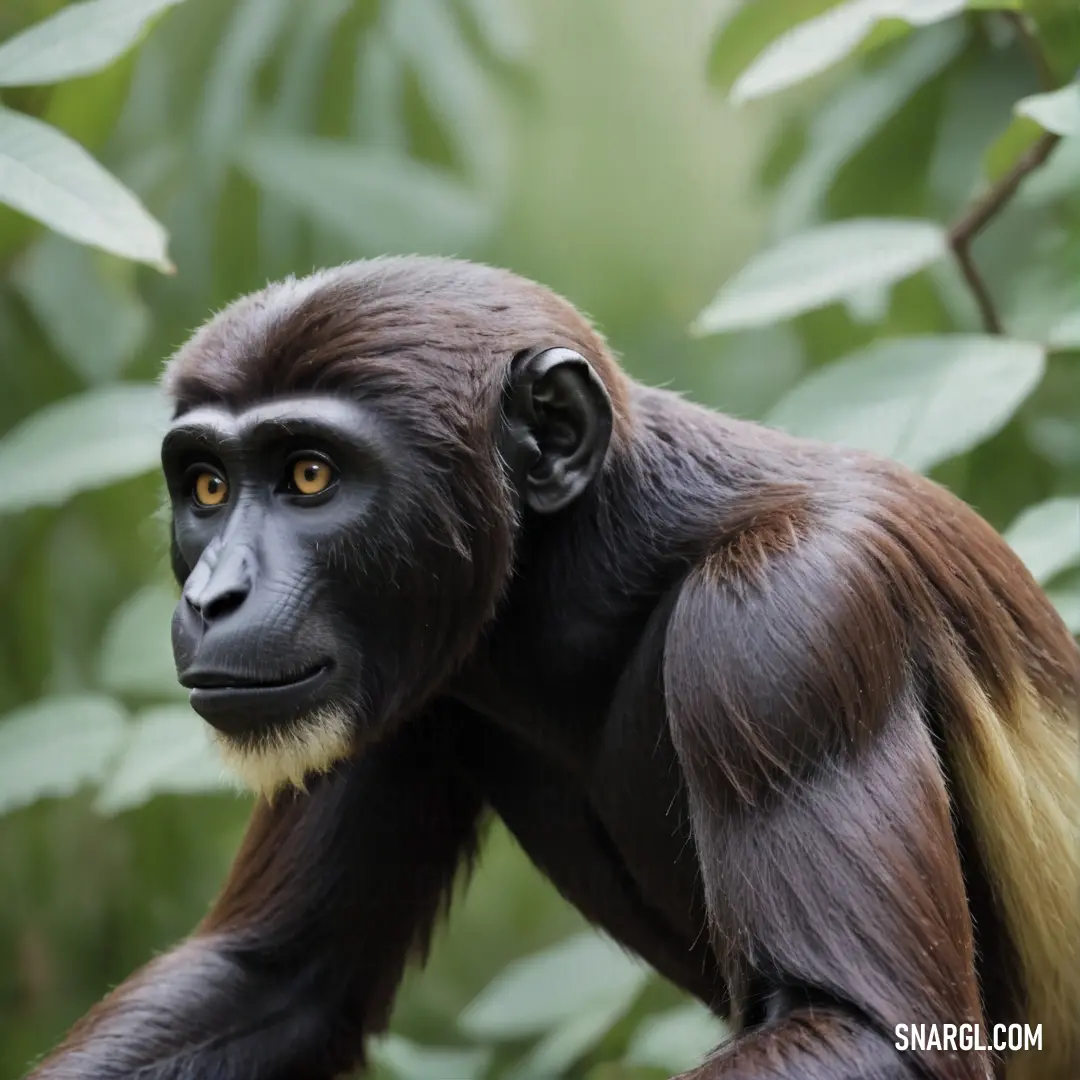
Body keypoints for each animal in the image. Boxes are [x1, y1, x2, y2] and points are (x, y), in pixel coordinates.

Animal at [25, 254, 1071, 1080]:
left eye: (309, 475)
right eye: (207, 487)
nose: (214, 595)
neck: (597, 576)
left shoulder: (792, 622)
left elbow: (858, 1028)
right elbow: (272, 980)